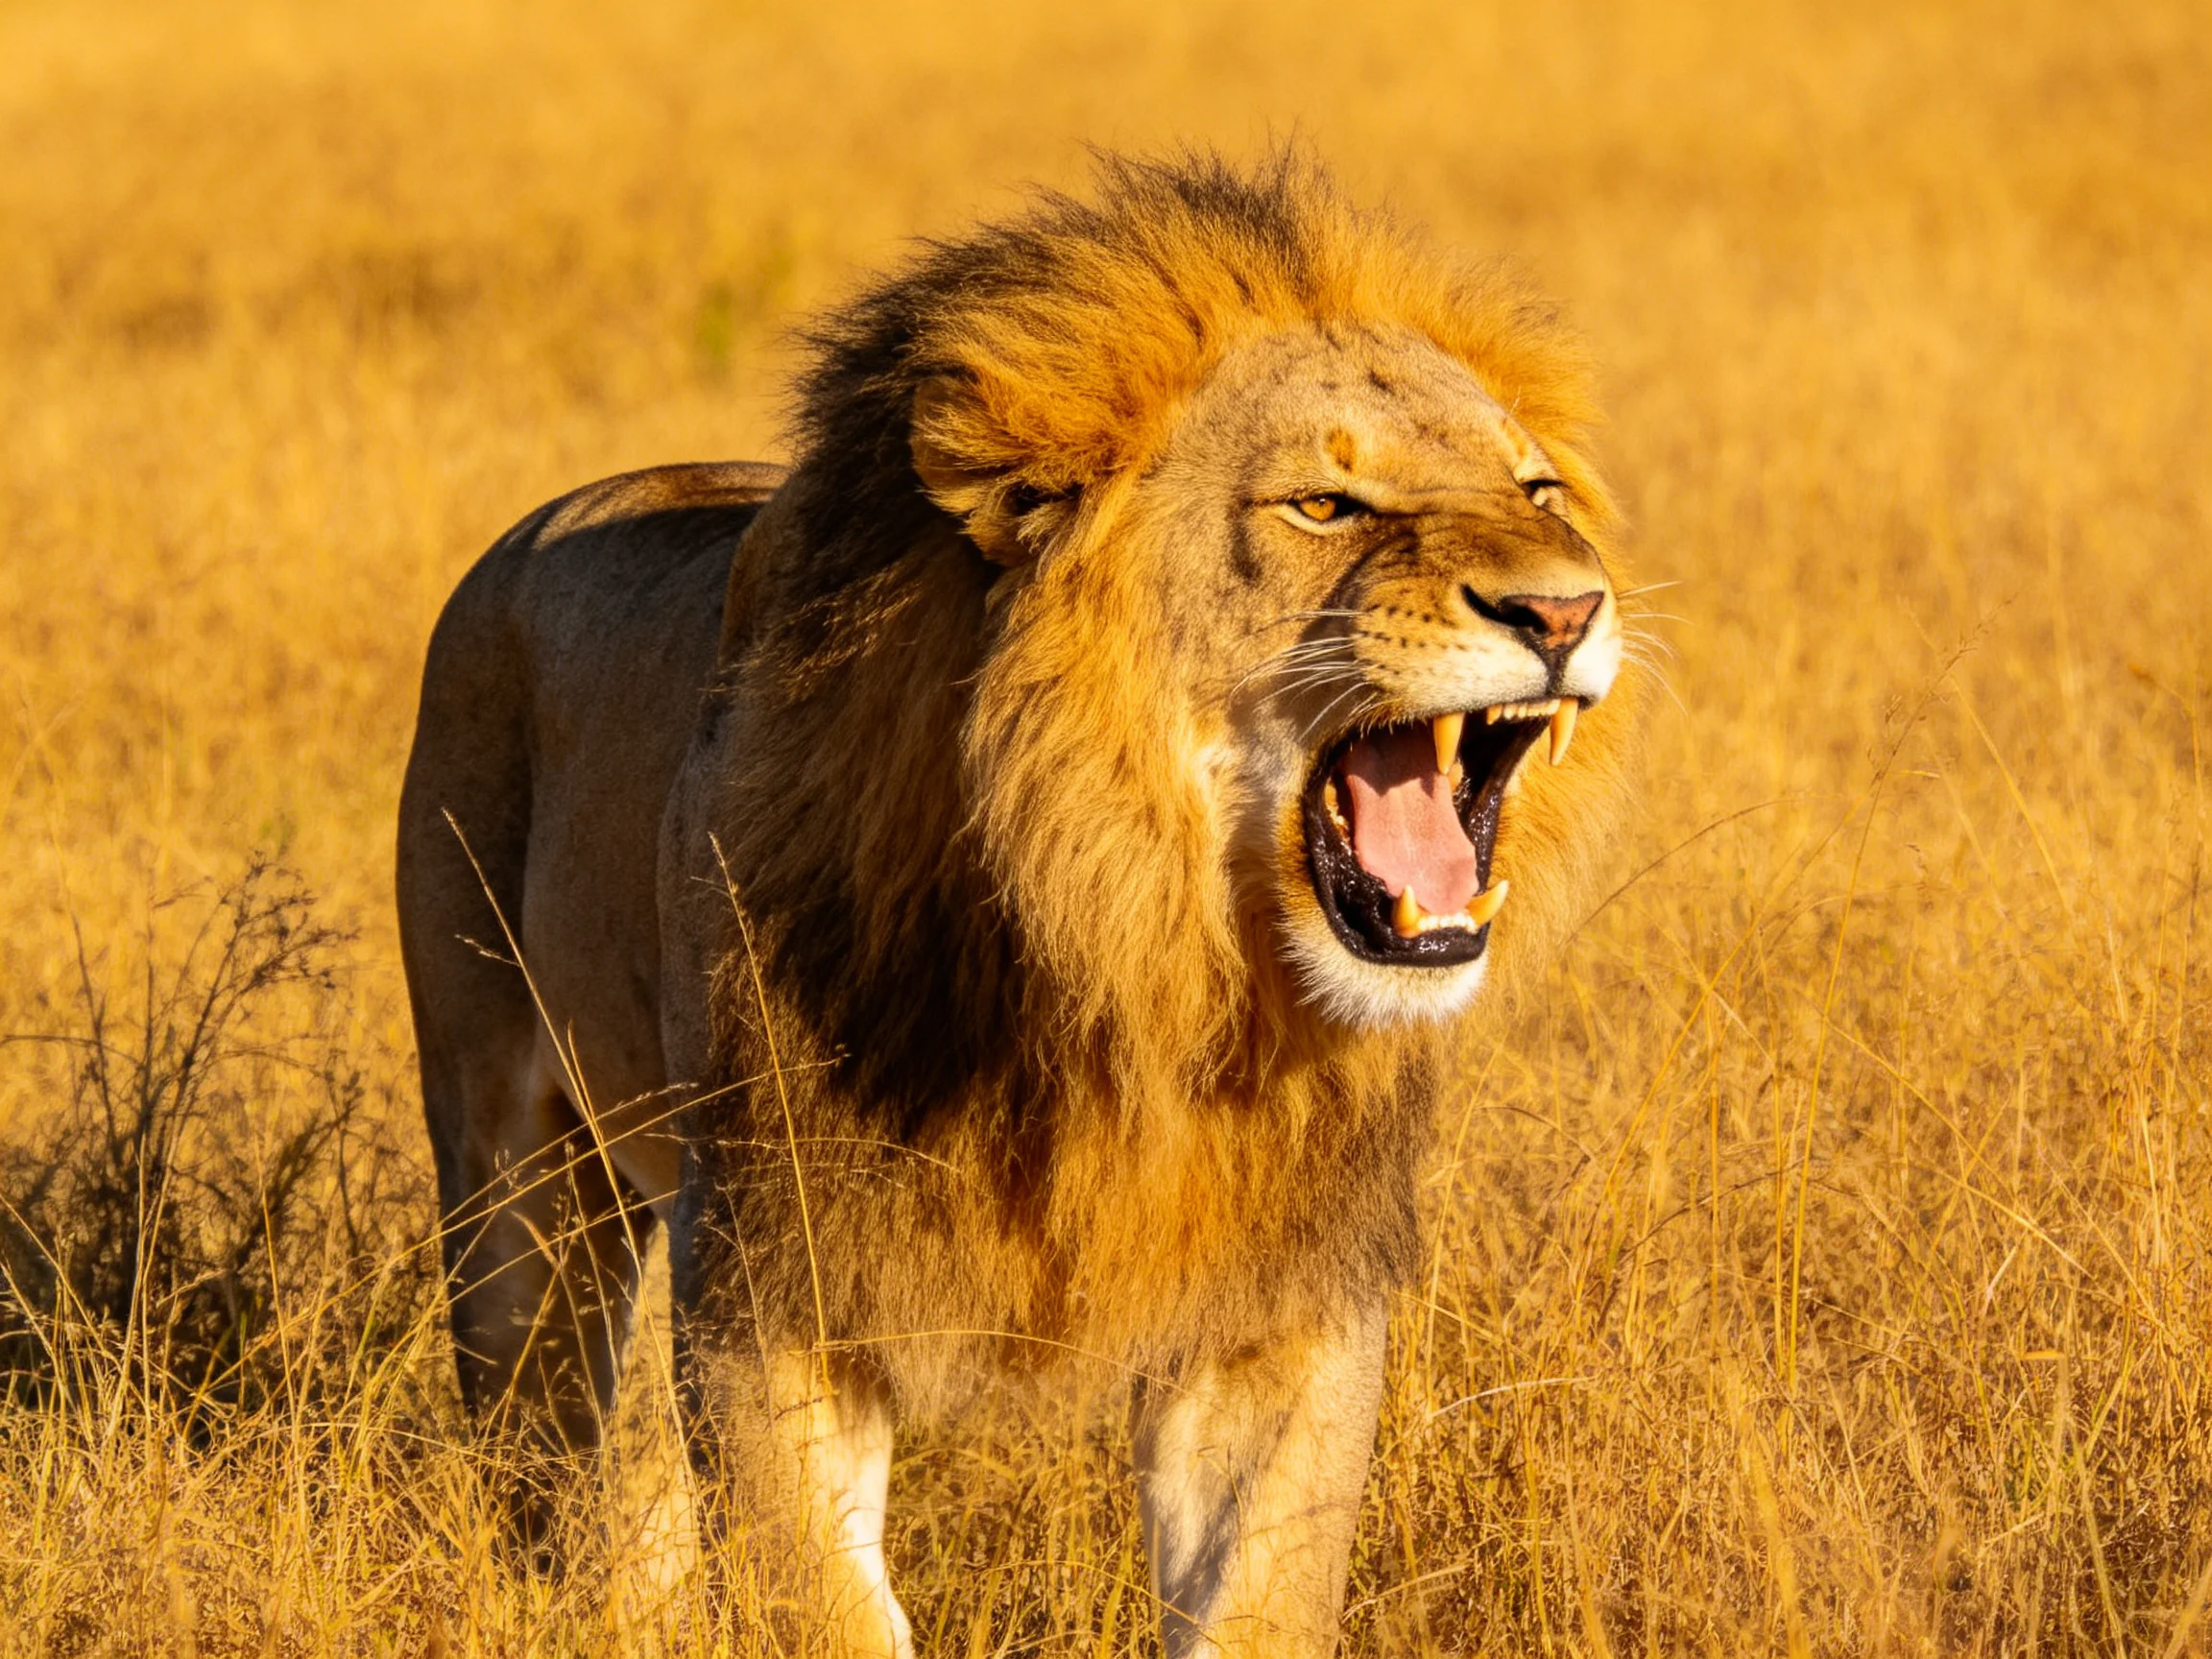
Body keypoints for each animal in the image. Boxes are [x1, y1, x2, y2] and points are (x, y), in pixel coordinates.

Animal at [396, 151, 1635, 1656]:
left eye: (1538, 488)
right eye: (1323, 507)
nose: (1567, 610)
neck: (1137, 956)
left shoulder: (1277, 1310)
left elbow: (1260, 1597)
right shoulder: (768, 1281)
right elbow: (825, 1610)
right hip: (509, 1178)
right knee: (547, 1446)